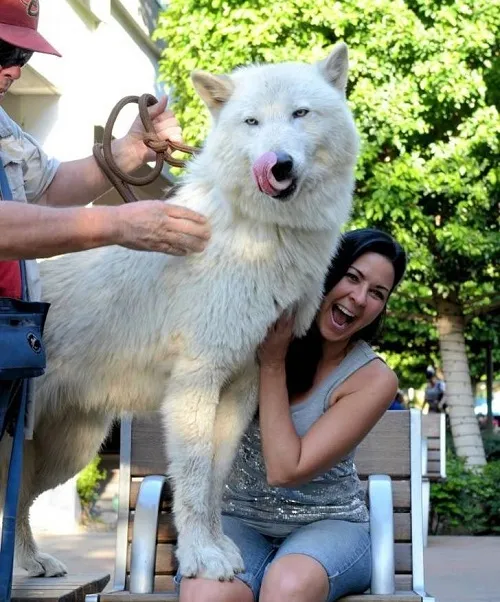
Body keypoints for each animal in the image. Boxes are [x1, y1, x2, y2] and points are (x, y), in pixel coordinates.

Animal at [0, 41, 360, 576]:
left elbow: (213, 484)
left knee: (19, 496)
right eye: (252, 122)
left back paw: (31, 561)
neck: (259, 234)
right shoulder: (195, 383)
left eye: (300, 114)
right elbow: (190, 478)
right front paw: (201, 558)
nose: (277, 164)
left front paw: (219, 549)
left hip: (71, 449)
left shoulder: (241, 387)